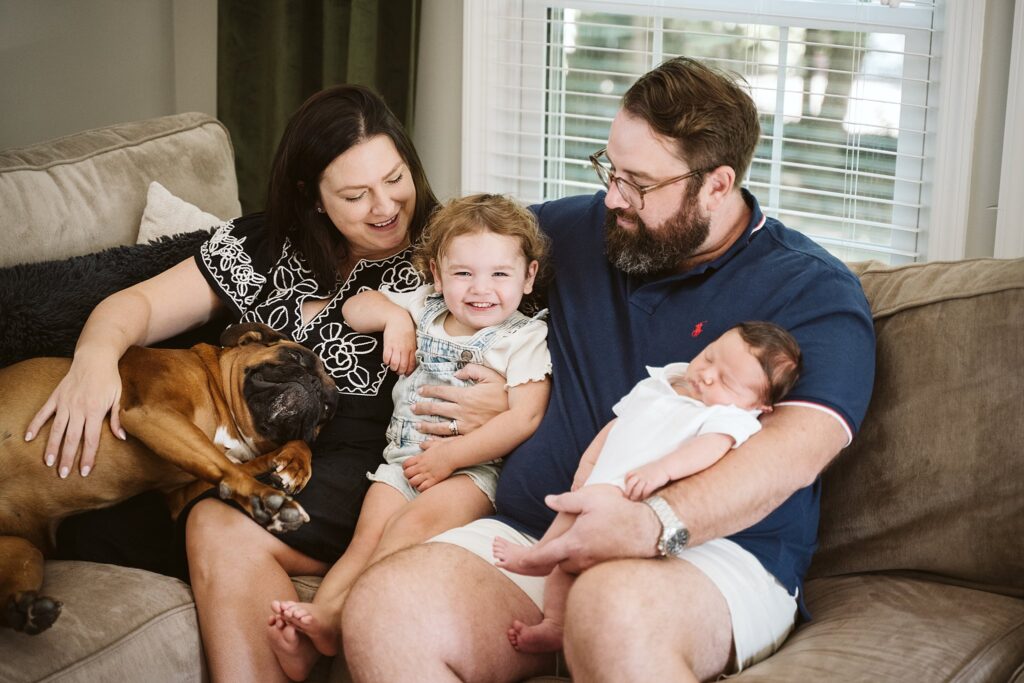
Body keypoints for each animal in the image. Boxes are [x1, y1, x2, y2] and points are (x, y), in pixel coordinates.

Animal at [0, 323, 337, 634]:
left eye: (328, 408)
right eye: (296, 357)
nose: (314, 388)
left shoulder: (182, 492)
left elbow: (243, 464)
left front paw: (294, 462)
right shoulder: (154, 413)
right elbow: (231, 467)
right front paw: (266, 499)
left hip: (22, 550)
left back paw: (26, 610)